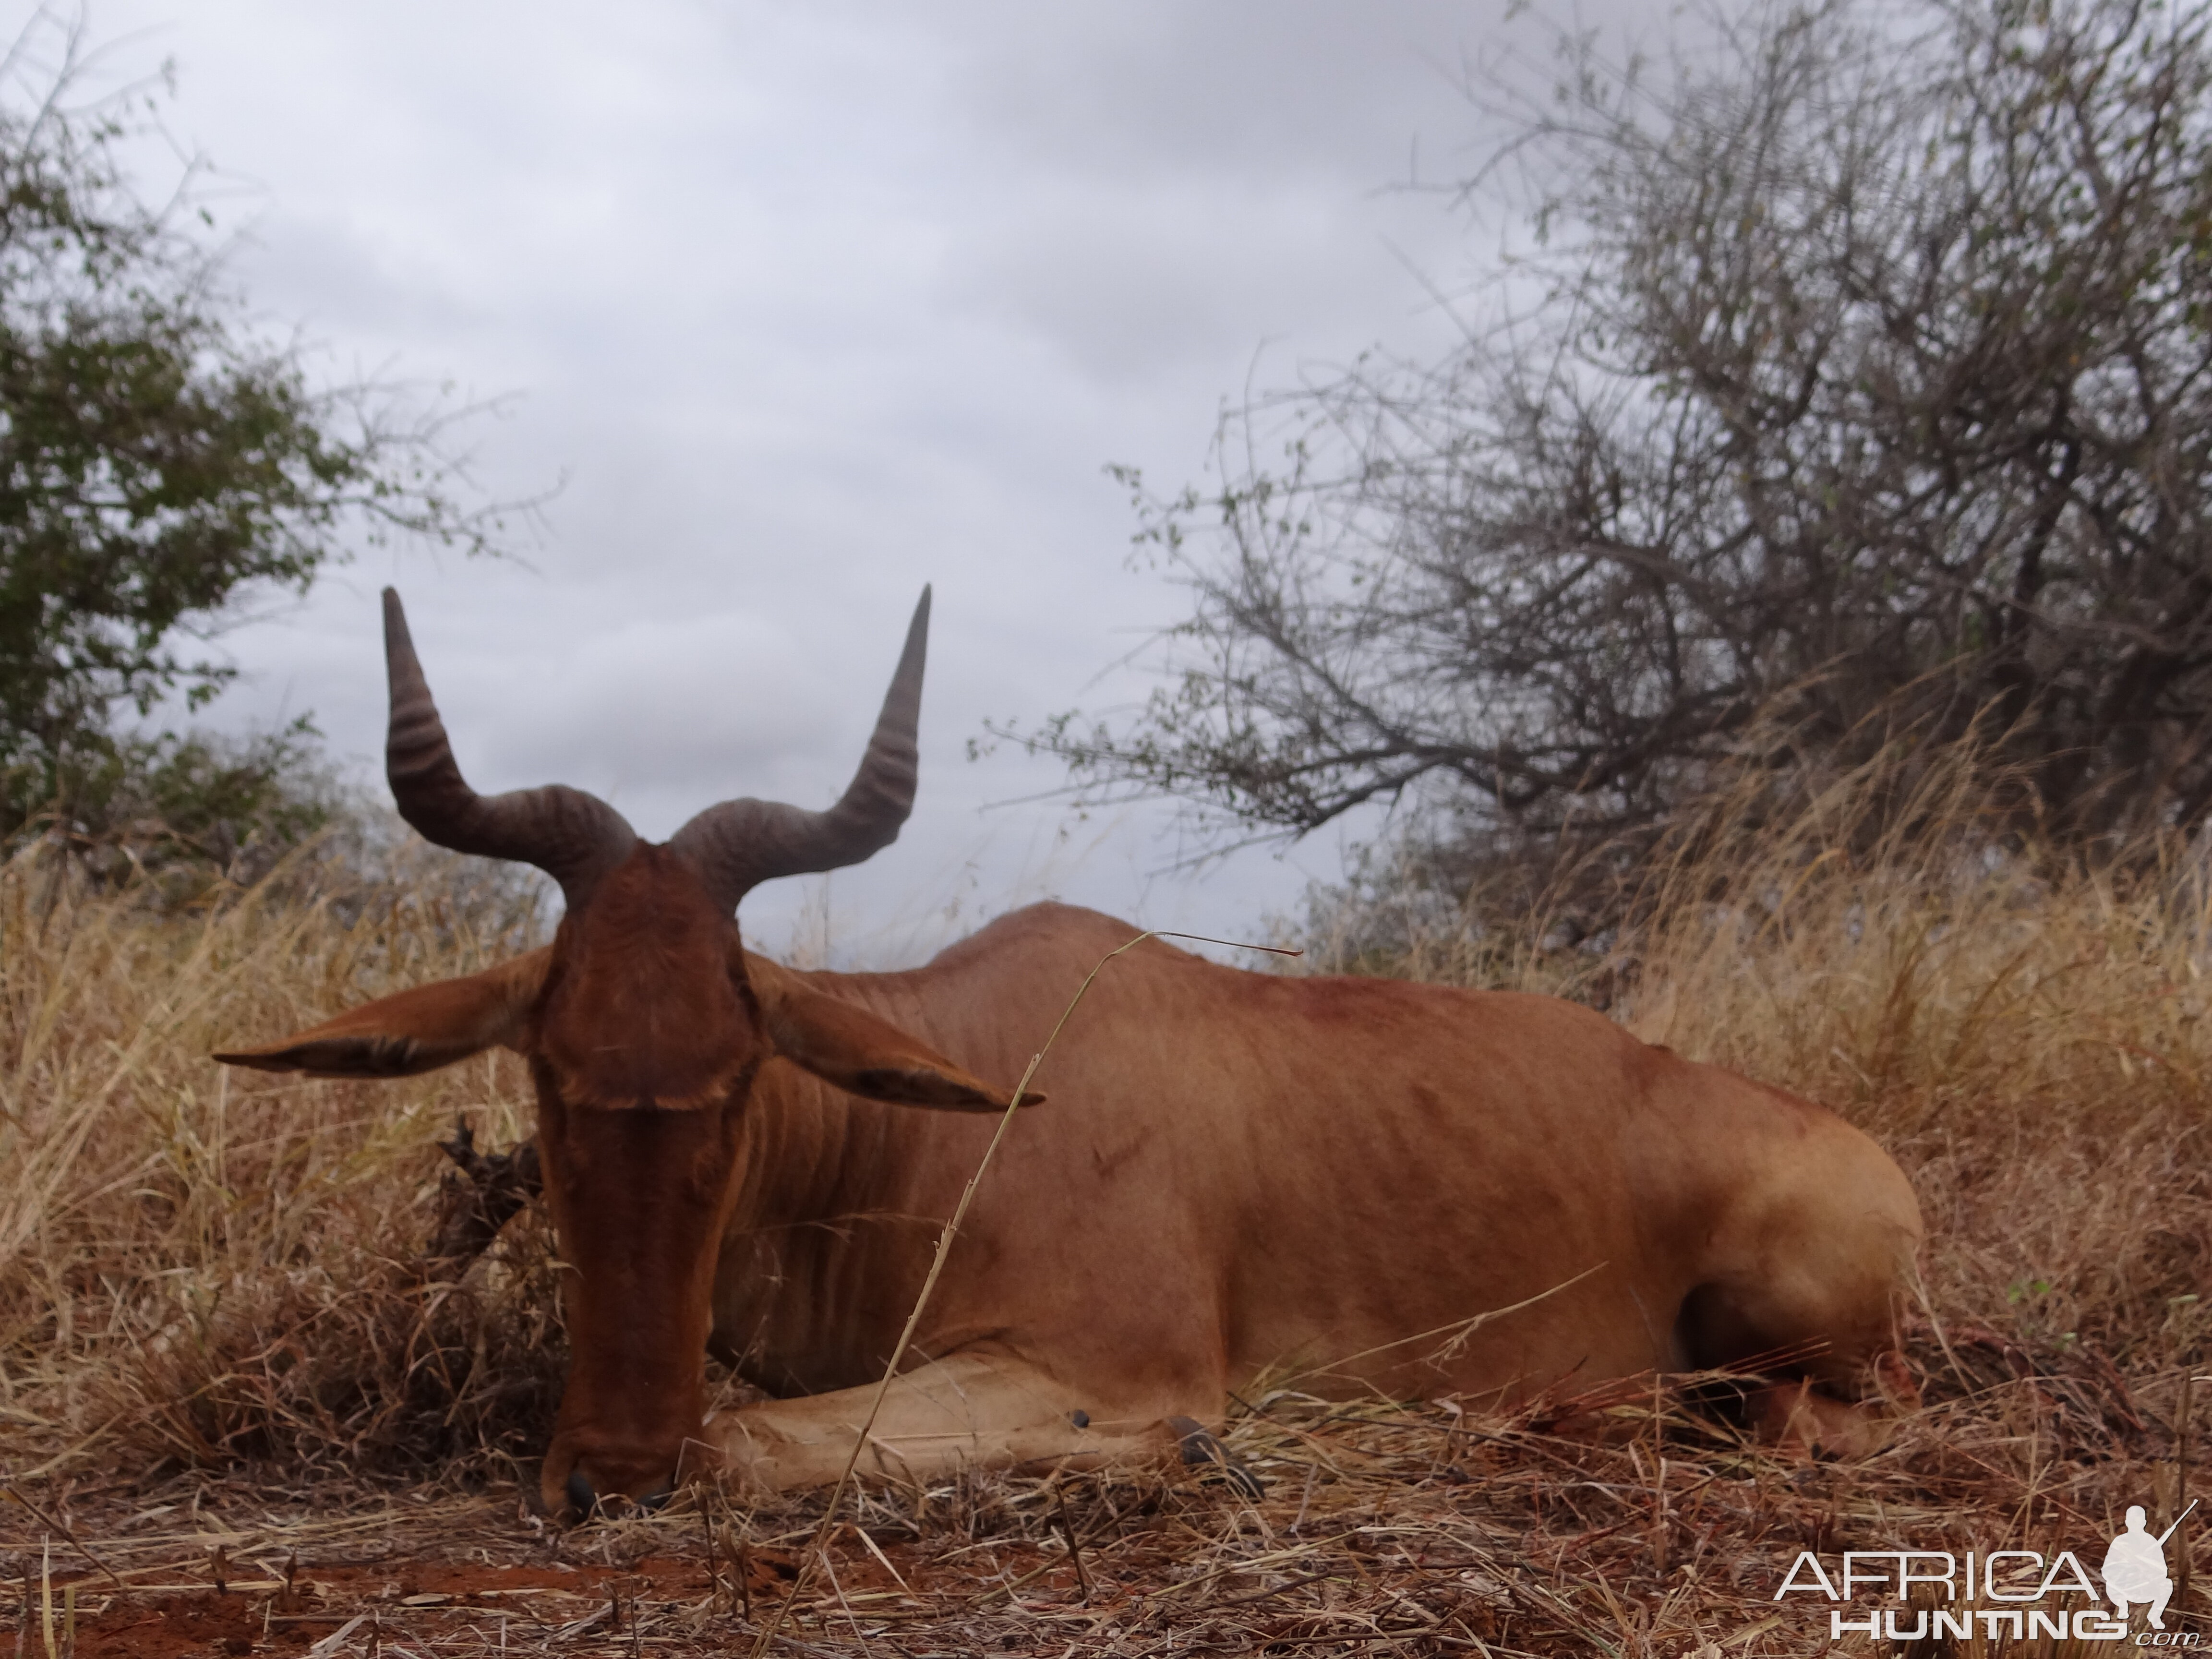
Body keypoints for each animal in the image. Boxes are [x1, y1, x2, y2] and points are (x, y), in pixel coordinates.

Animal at [216, 588, 1929, 1522]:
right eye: (551, 1065)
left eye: (743, 1063)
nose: (608, 1472)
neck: (960, 1096)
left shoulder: (1114, 1366)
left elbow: (751, 1439)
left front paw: (1188, 1460)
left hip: (1808, 1336)